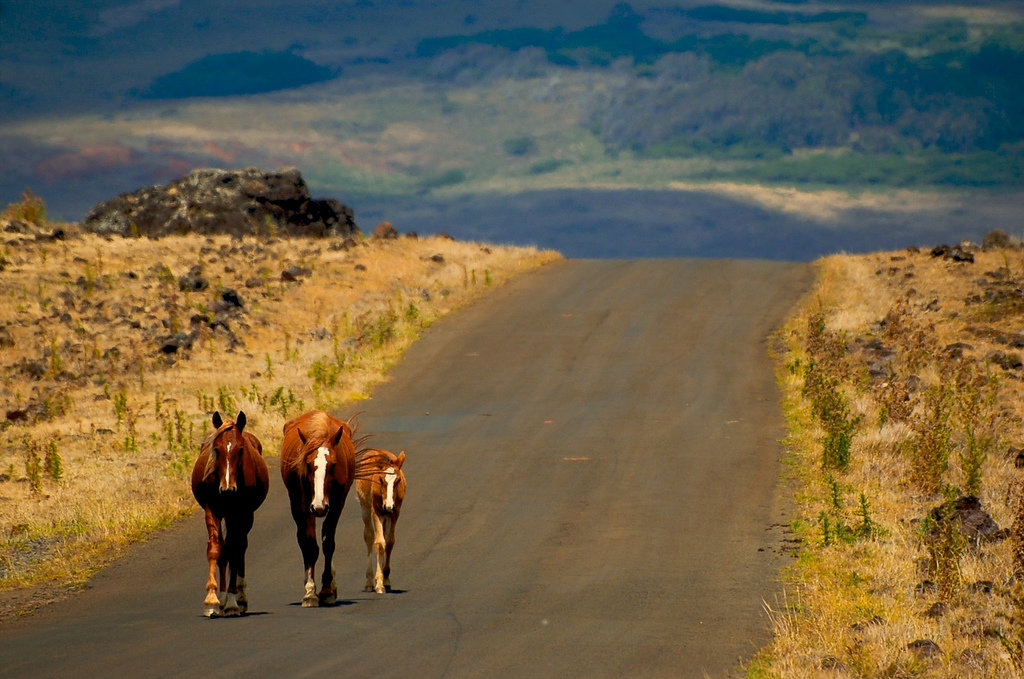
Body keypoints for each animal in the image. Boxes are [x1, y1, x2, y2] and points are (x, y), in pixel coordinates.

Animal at [188, 411, 268, 618]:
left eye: (240, 450)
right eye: (216, 449)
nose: (227, 489)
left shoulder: (240, 512)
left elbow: (234, 550)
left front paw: (232, 601)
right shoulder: (212, 509)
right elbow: (216, 549)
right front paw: (212, 601)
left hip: (244, 517)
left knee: (240, 549)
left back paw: (240, 599)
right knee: (226, 549)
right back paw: (223, 599)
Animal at [282, 409, 358, 606]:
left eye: (333, 464)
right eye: (308, 464)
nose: (319, 507)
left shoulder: (337, 505)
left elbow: (328, 542)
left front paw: (327, 590)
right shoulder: (303, 506)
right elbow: (310, 545)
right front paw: (310, 592)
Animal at [354, 448, 405, 593]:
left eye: (398, 480)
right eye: (381, 479)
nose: (388, 506)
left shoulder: (395, 513)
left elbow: (390, 542)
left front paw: (386, 579)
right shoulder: (376, 511)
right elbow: (379, 543)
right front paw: (379, 584)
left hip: (386, 516)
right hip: (365, 507)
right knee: (369, 537)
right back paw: (370, 582)